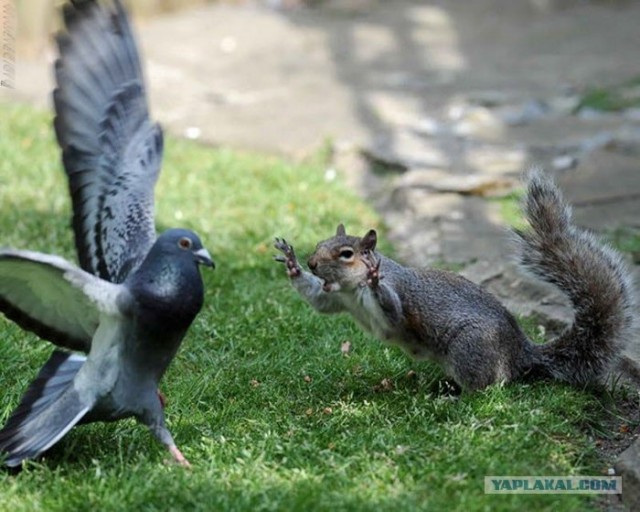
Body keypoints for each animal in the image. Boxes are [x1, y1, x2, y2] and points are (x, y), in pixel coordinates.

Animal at [274, 170, 639, 391]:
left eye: (347, 253)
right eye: (321, 243)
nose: (312, 262)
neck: (351, 290)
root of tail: (522, 355)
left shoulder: (399, 298)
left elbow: (393, 311)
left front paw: (376, 279)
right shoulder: (337, 298)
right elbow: (320, 303)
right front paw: (291, 264)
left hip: (469, 347)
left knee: (491, 387)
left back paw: (455, 395)